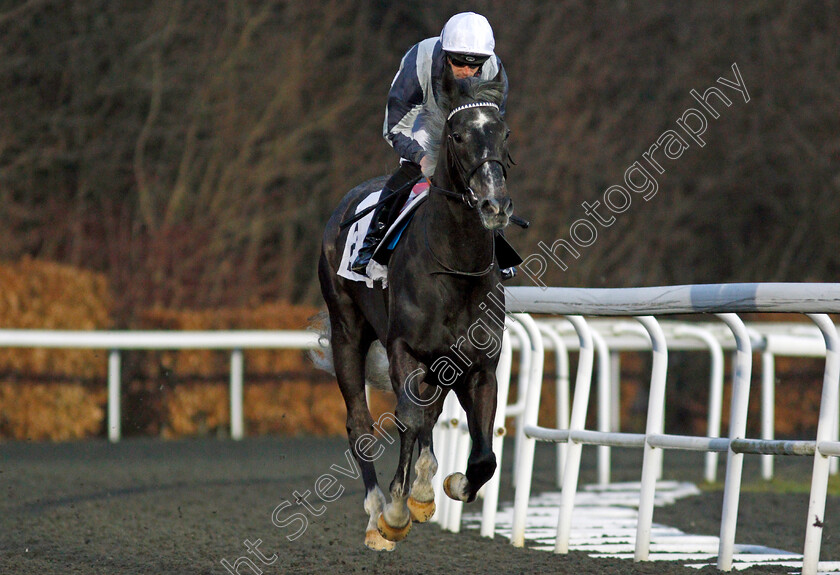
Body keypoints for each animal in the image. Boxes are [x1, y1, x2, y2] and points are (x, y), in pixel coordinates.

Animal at [316, 65, 512, 552]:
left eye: (504, 132)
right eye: (457, 135)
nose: (495, 204)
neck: (454, 266)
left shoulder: (478, 365)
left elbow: (483, 453)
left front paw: (447, 486)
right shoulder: (404, 349)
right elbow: (406, 418)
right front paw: (397, 511)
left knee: (429, 414)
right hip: (347, 332)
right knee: (361, 424)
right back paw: (377, 515)